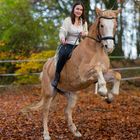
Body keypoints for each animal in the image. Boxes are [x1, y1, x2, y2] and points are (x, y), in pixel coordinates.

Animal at [21, 7, 121, 140]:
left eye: (115, 25)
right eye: (102, 25)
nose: (109, 47)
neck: (96, 50)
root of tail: (46, 66)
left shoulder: (103, 74)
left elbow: (117, 75)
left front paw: (110, 96)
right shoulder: (84, 74)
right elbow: (97, 69)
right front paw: (103, 92)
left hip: (71, 95)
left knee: (67, 111)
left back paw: (75, 131)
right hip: (49, 93)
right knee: (45, 112)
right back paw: (46, 134)